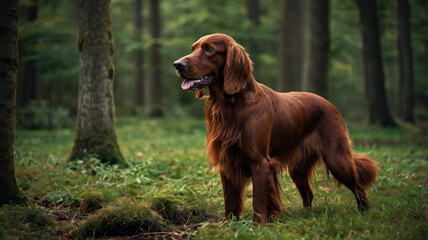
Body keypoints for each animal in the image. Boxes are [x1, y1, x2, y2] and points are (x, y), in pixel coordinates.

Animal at [172, 33, 376, 223]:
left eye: (209, 50)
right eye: (193, 48)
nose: (177, 64)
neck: (232, 105)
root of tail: (330, 104)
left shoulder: (260, 163)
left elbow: (258, 199)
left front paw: (258, 225)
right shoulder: (227, 160)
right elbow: (230, 198)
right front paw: (228, 223)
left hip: (337, 159)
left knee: (359, 188)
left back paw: (363, 214)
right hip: (298, 168)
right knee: (308, 193)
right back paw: (306, 216)